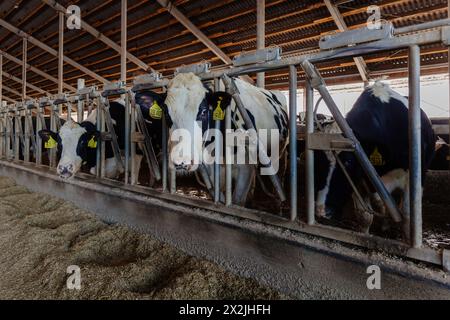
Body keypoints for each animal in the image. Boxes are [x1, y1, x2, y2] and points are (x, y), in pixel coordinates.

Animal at [316, 81, 436, 239]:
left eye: (348, 162)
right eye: (319, 161)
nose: (322, 211)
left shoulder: (413, 174)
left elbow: (408, 216)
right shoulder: (360, 180)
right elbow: (364, 216)